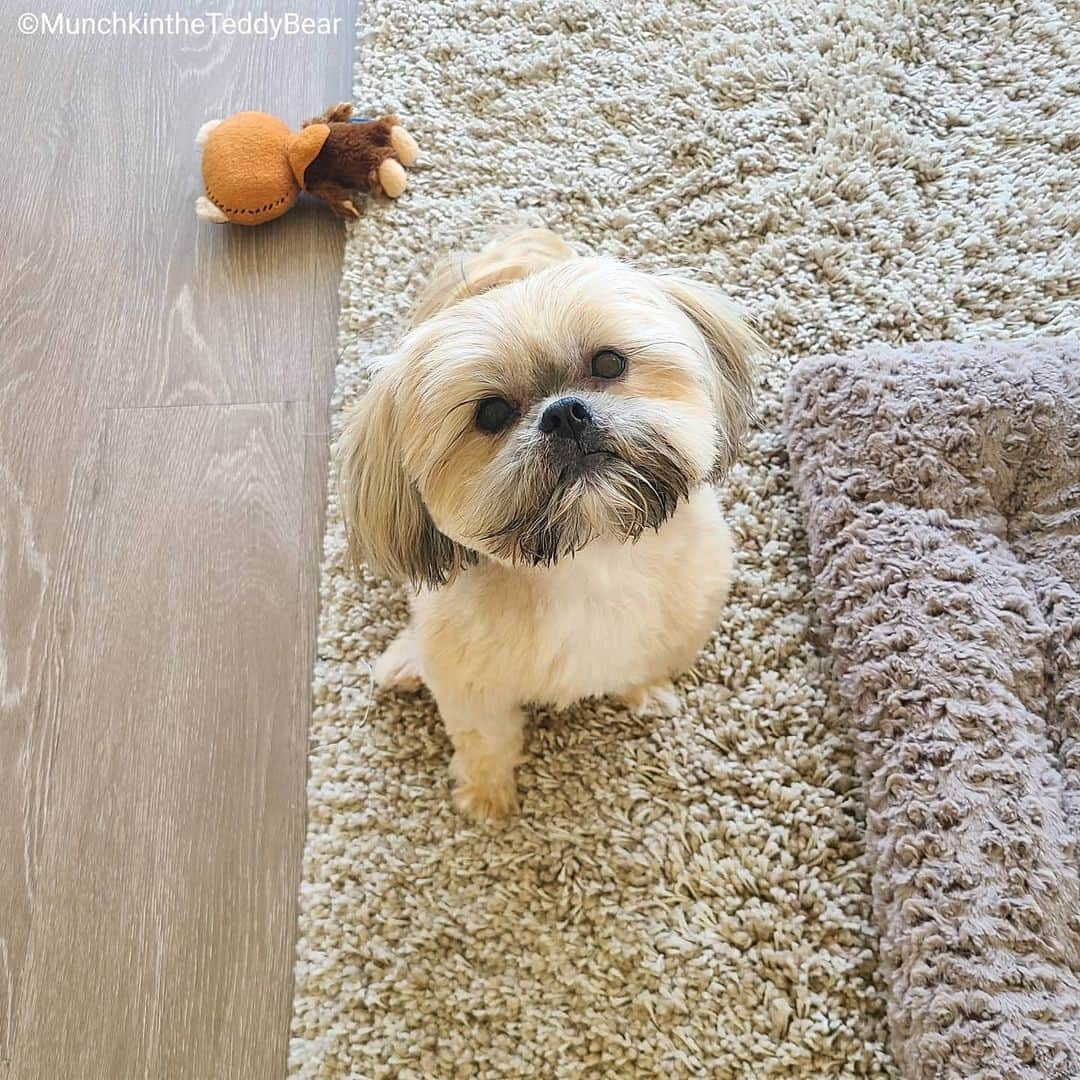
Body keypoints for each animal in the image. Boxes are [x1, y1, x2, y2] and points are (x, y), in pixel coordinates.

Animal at [339, 227, 760, 816]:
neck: (591, 557)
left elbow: (645, 665)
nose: (564, 413)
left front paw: (645, 693)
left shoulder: (682, 622)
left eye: (609, 363)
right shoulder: (471, 685)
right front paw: (487, 796)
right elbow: (485, 739)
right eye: (491, 413)